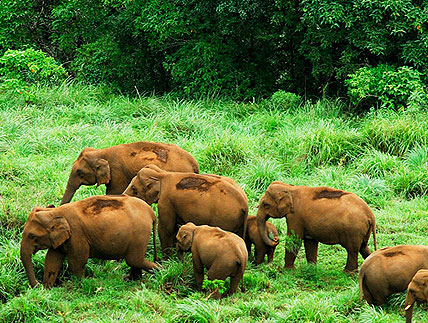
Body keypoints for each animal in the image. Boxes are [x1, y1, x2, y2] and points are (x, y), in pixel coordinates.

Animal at [20, 195, 158, 288]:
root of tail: (151, 211)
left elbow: (76, 263)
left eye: (32, 235)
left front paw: (78, 285)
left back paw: (159, 271)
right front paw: (48, 289)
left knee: (134, 260)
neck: (54, 212)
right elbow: (52, 261)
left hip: (140, 232)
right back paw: (131, 280)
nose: (37, 285)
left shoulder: (77, 234)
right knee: (134, 261)